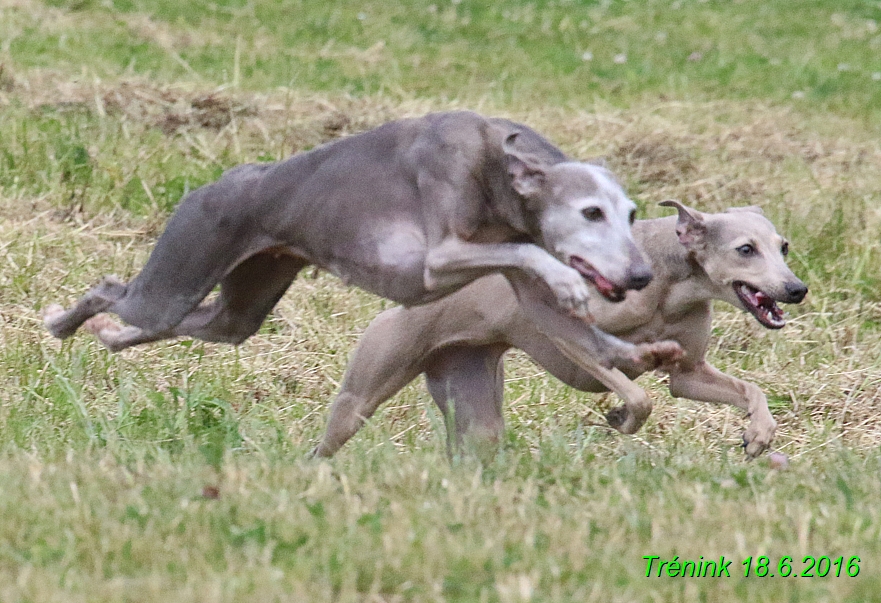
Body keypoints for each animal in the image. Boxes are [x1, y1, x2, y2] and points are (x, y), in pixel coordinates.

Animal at [41, 111, 676, 370]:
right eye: (591, 212)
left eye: (630, 214)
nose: (641, 276)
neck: (496, 163)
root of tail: (216, 184)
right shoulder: (437, 260)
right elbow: (524, 255)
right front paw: (571, 283)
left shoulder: (523, 283)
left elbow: (578, 331)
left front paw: (641, 354)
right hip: (179, 274)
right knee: (110, 289)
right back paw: (62, 322)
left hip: (238, 309)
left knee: (165, 327)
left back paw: (110, 337)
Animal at [314, 202, 804, 458]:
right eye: (745, 249)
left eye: (783, 246)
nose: (797, 289)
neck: (669, 284)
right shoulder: (568, 338)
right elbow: (637, 395)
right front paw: (621, 417)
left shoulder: (689, 374)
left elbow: (748, 390)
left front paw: (760, 432)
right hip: (361, 395)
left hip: (476, 409)